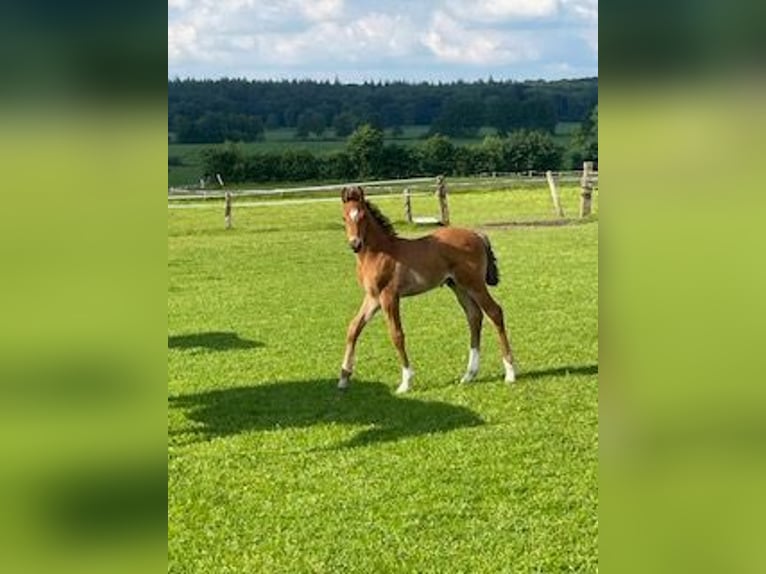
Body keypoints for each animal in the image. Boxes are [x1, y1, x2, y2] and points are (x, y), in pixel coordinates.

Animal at [340, 187, 516, 394]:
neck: (380, 253)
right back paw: (469, 375)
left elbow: (396, 334)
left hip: (474, 284)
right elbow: (354, 328)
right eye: (344, 217)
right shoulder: (373, 298)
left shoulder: (389, 296)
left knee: (494, 312)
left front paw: (406, 382)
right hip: (458, 286)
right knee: (474, 316)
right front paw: (343, 378)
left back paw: (510, 373)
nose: (355, 244)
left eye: (362, 216)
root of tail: (477, 235)